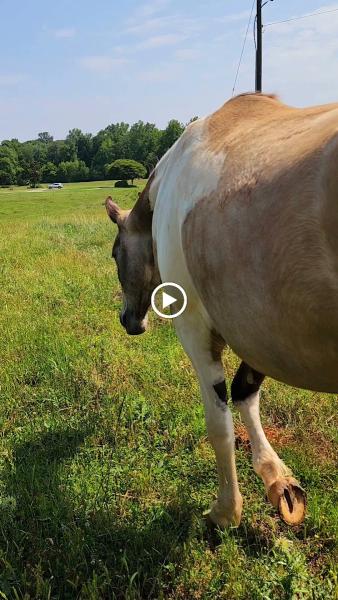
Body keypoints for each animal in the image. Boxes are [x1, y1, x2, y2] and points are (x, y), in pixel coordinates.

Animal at [105, 91, 338, 528]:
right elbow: (245, 392)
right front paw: (277, 480)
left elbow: (220, 423)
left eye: (114, 253)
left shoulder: (196, 329)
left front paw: (227, 511)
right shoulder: (258, 329)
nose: (128, 320)